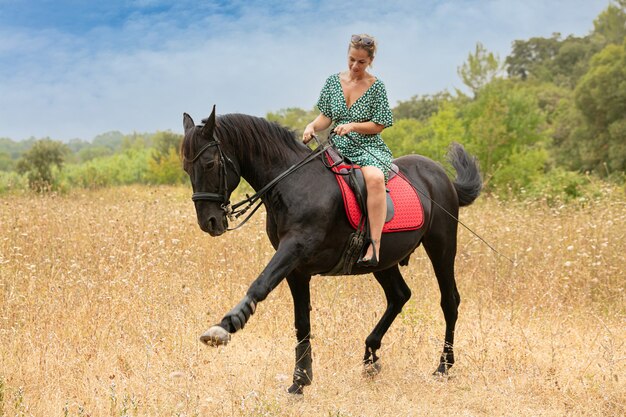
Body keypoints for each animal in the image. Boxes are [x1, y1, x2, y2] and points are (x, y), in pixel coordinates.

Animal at [180, 107, 482, 394]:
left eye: (209, 163)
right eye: (186, 168)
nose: (209, 222)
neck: (293, 183)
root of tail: (440, 176)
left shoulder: (292, 250)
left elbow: (260, 284)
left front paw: (225, 326)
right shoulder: (297, 270)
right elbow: (302, 323)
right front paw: (300, 382)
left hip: (441, 246)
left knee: (449, 301)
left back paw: (443, 367)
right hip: (382, 261)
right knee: (399, 296)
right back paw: (370, 358)